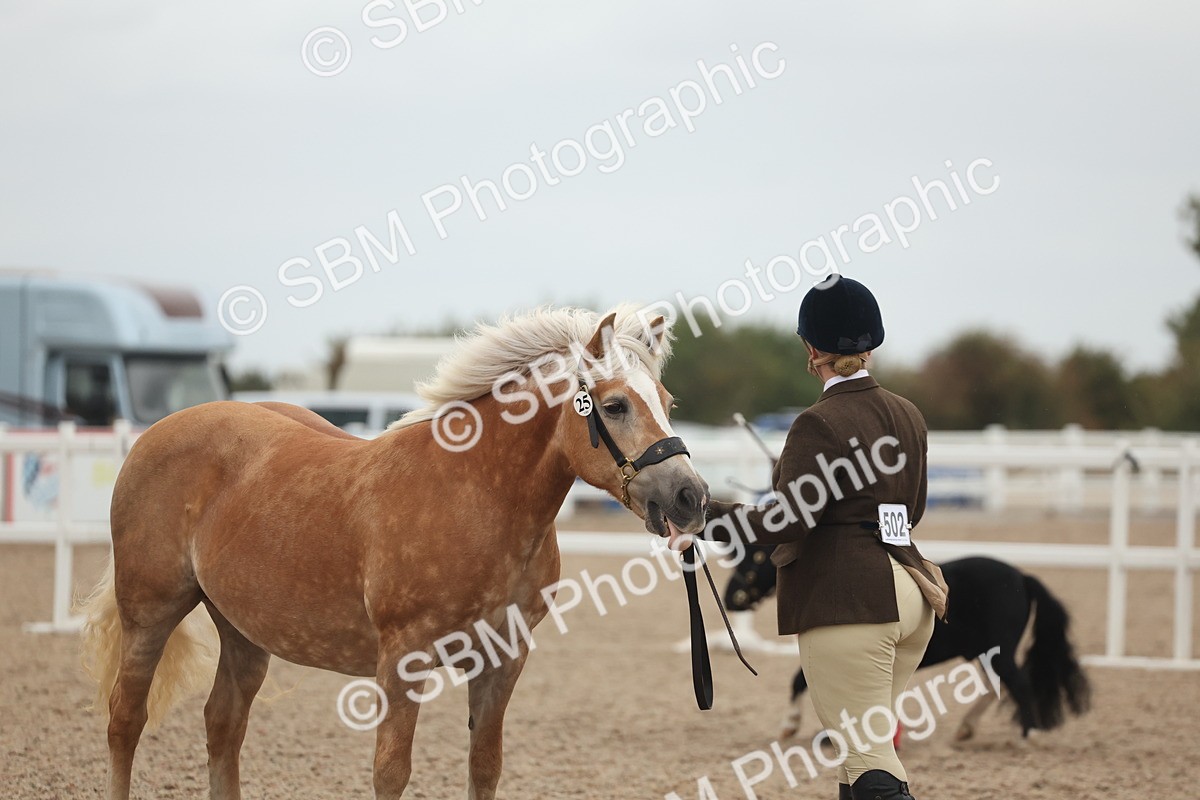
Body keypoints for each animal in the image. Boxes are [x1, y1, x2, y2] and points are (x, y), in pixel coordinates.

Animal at [79, 306, 710, 800]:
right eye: (615, 405)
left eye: (667, 400)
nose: (690, 496)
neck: (477, 494)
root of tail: (156, 433)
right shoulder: (403, 660)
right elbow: (391, 772)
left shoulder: (503, 661)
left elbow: (485, 769)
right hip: (150, 611)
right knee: (124, 720)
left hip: (241, 628)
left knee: (223, 724)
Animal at [779, 556, 1092, 741]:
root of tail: (1023, 578)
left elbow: (799, 682)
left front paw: (790, 725)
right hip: (986, 653)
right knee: (997, 685)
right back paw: (966, 728)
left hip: (999, 651)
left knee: (1018, 683)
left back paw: (1028, 734)